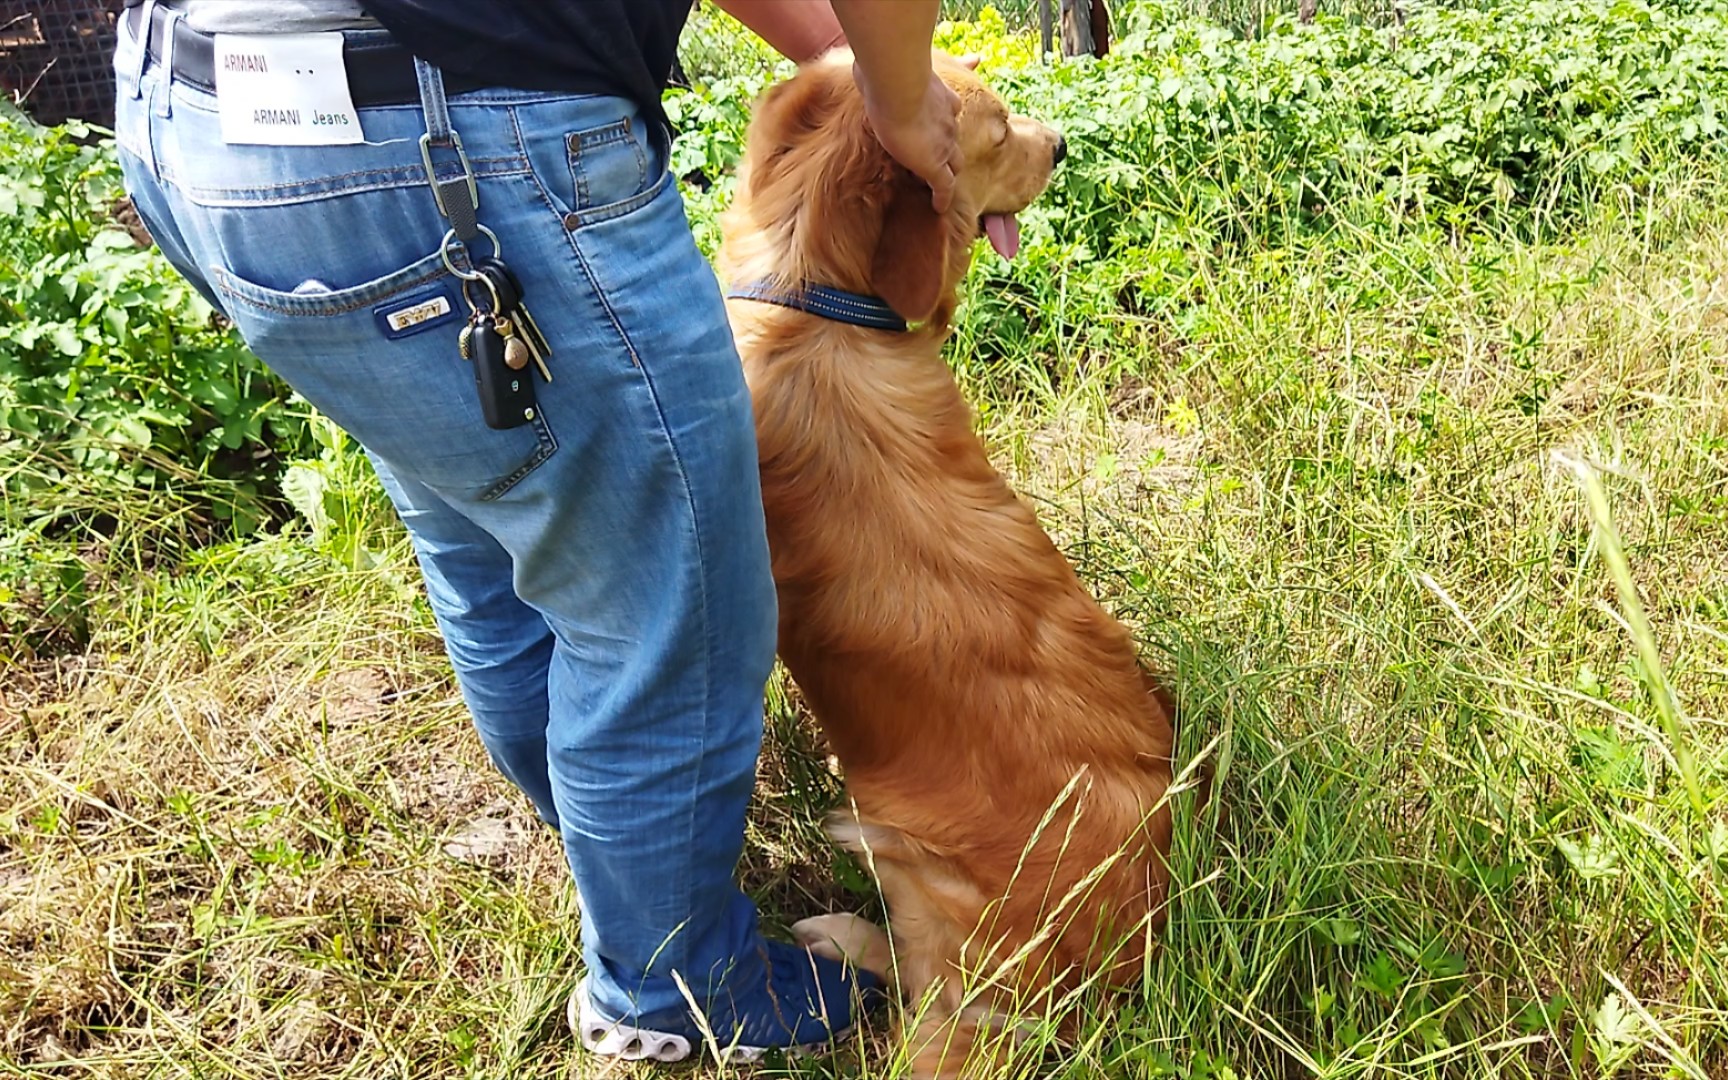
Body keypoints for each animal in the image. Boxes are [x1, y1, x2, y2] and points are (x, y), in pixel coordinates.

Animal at [715, 48, 1175, 1071]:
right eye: (999, 135)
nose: (1061, 143)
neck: (814, 299)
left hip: (908, 855)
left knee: (916, 982)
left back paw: (836, 934)